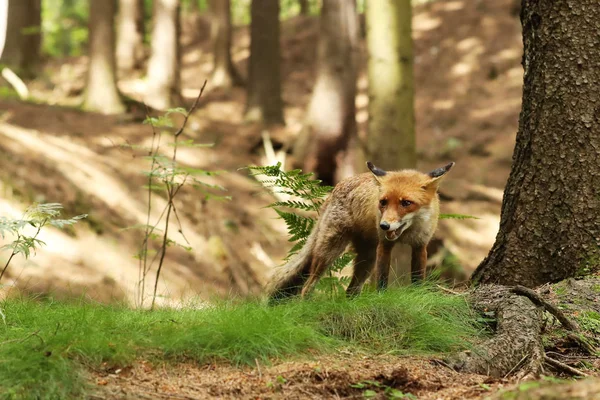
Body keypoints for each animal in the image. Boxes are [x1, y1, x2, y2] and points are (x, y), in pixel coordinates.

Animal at [268, 161, 454, 302]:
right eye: (383, 202)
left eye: (406, 203)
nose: (384, 226)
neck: (407, 231)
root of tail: (335, 188)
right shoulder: (384, 245)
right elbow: (382, 281)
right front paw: (381, 299)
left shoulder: (420, 246)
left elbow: (417, 279)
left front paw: (418, 295)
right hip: (330, 251)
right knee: (307, 287)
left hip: (366, 260)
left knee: (350, 291)